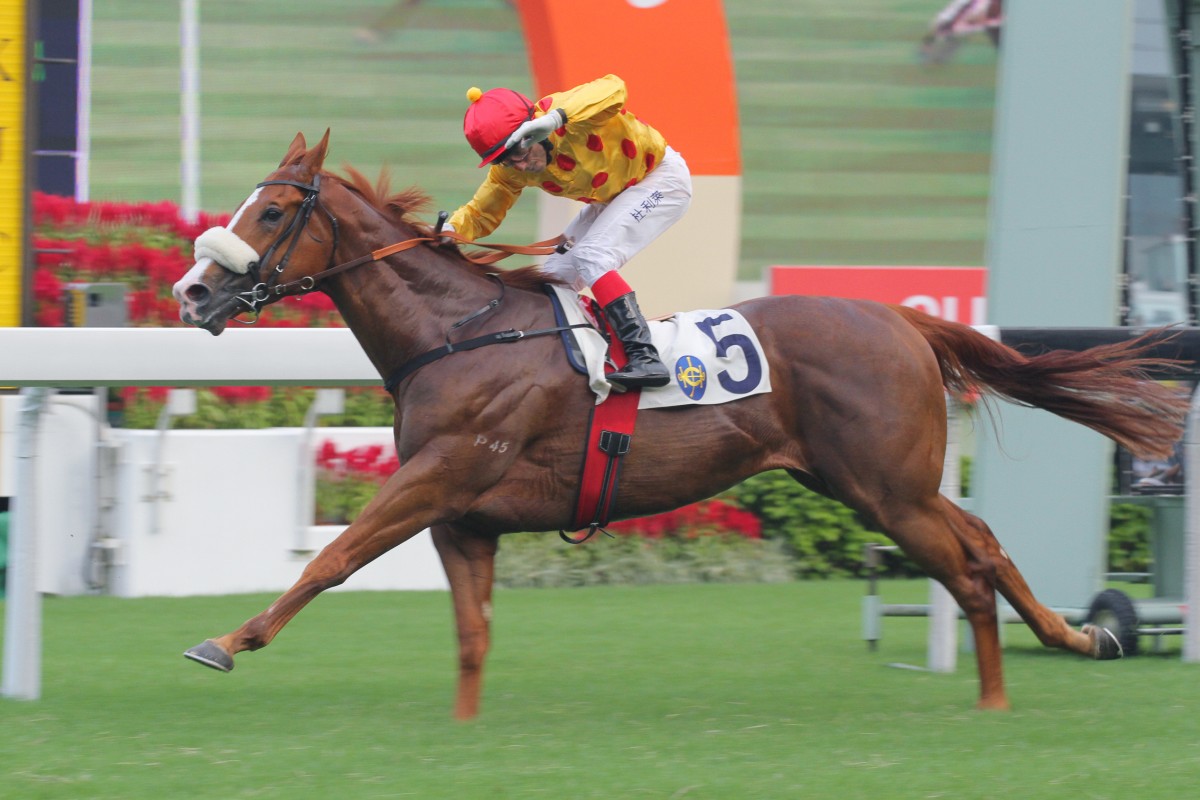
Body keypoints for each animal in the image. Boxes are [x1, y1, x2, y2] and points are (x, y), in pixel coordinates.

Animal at [174, 133, 1185, 719]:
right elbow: (471, 636)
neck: (457, 332)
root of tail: (900, 319)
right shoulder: (465, 520)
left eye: (271, 211)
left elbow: (333, 559)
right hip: (874, 481)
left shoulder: (440, 478)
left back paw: (998, 699)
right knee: (984, 540)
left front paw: (226, 641)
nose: (191, 292)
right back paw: (1075, 639)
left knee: (969, 568)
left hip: (886, 489)